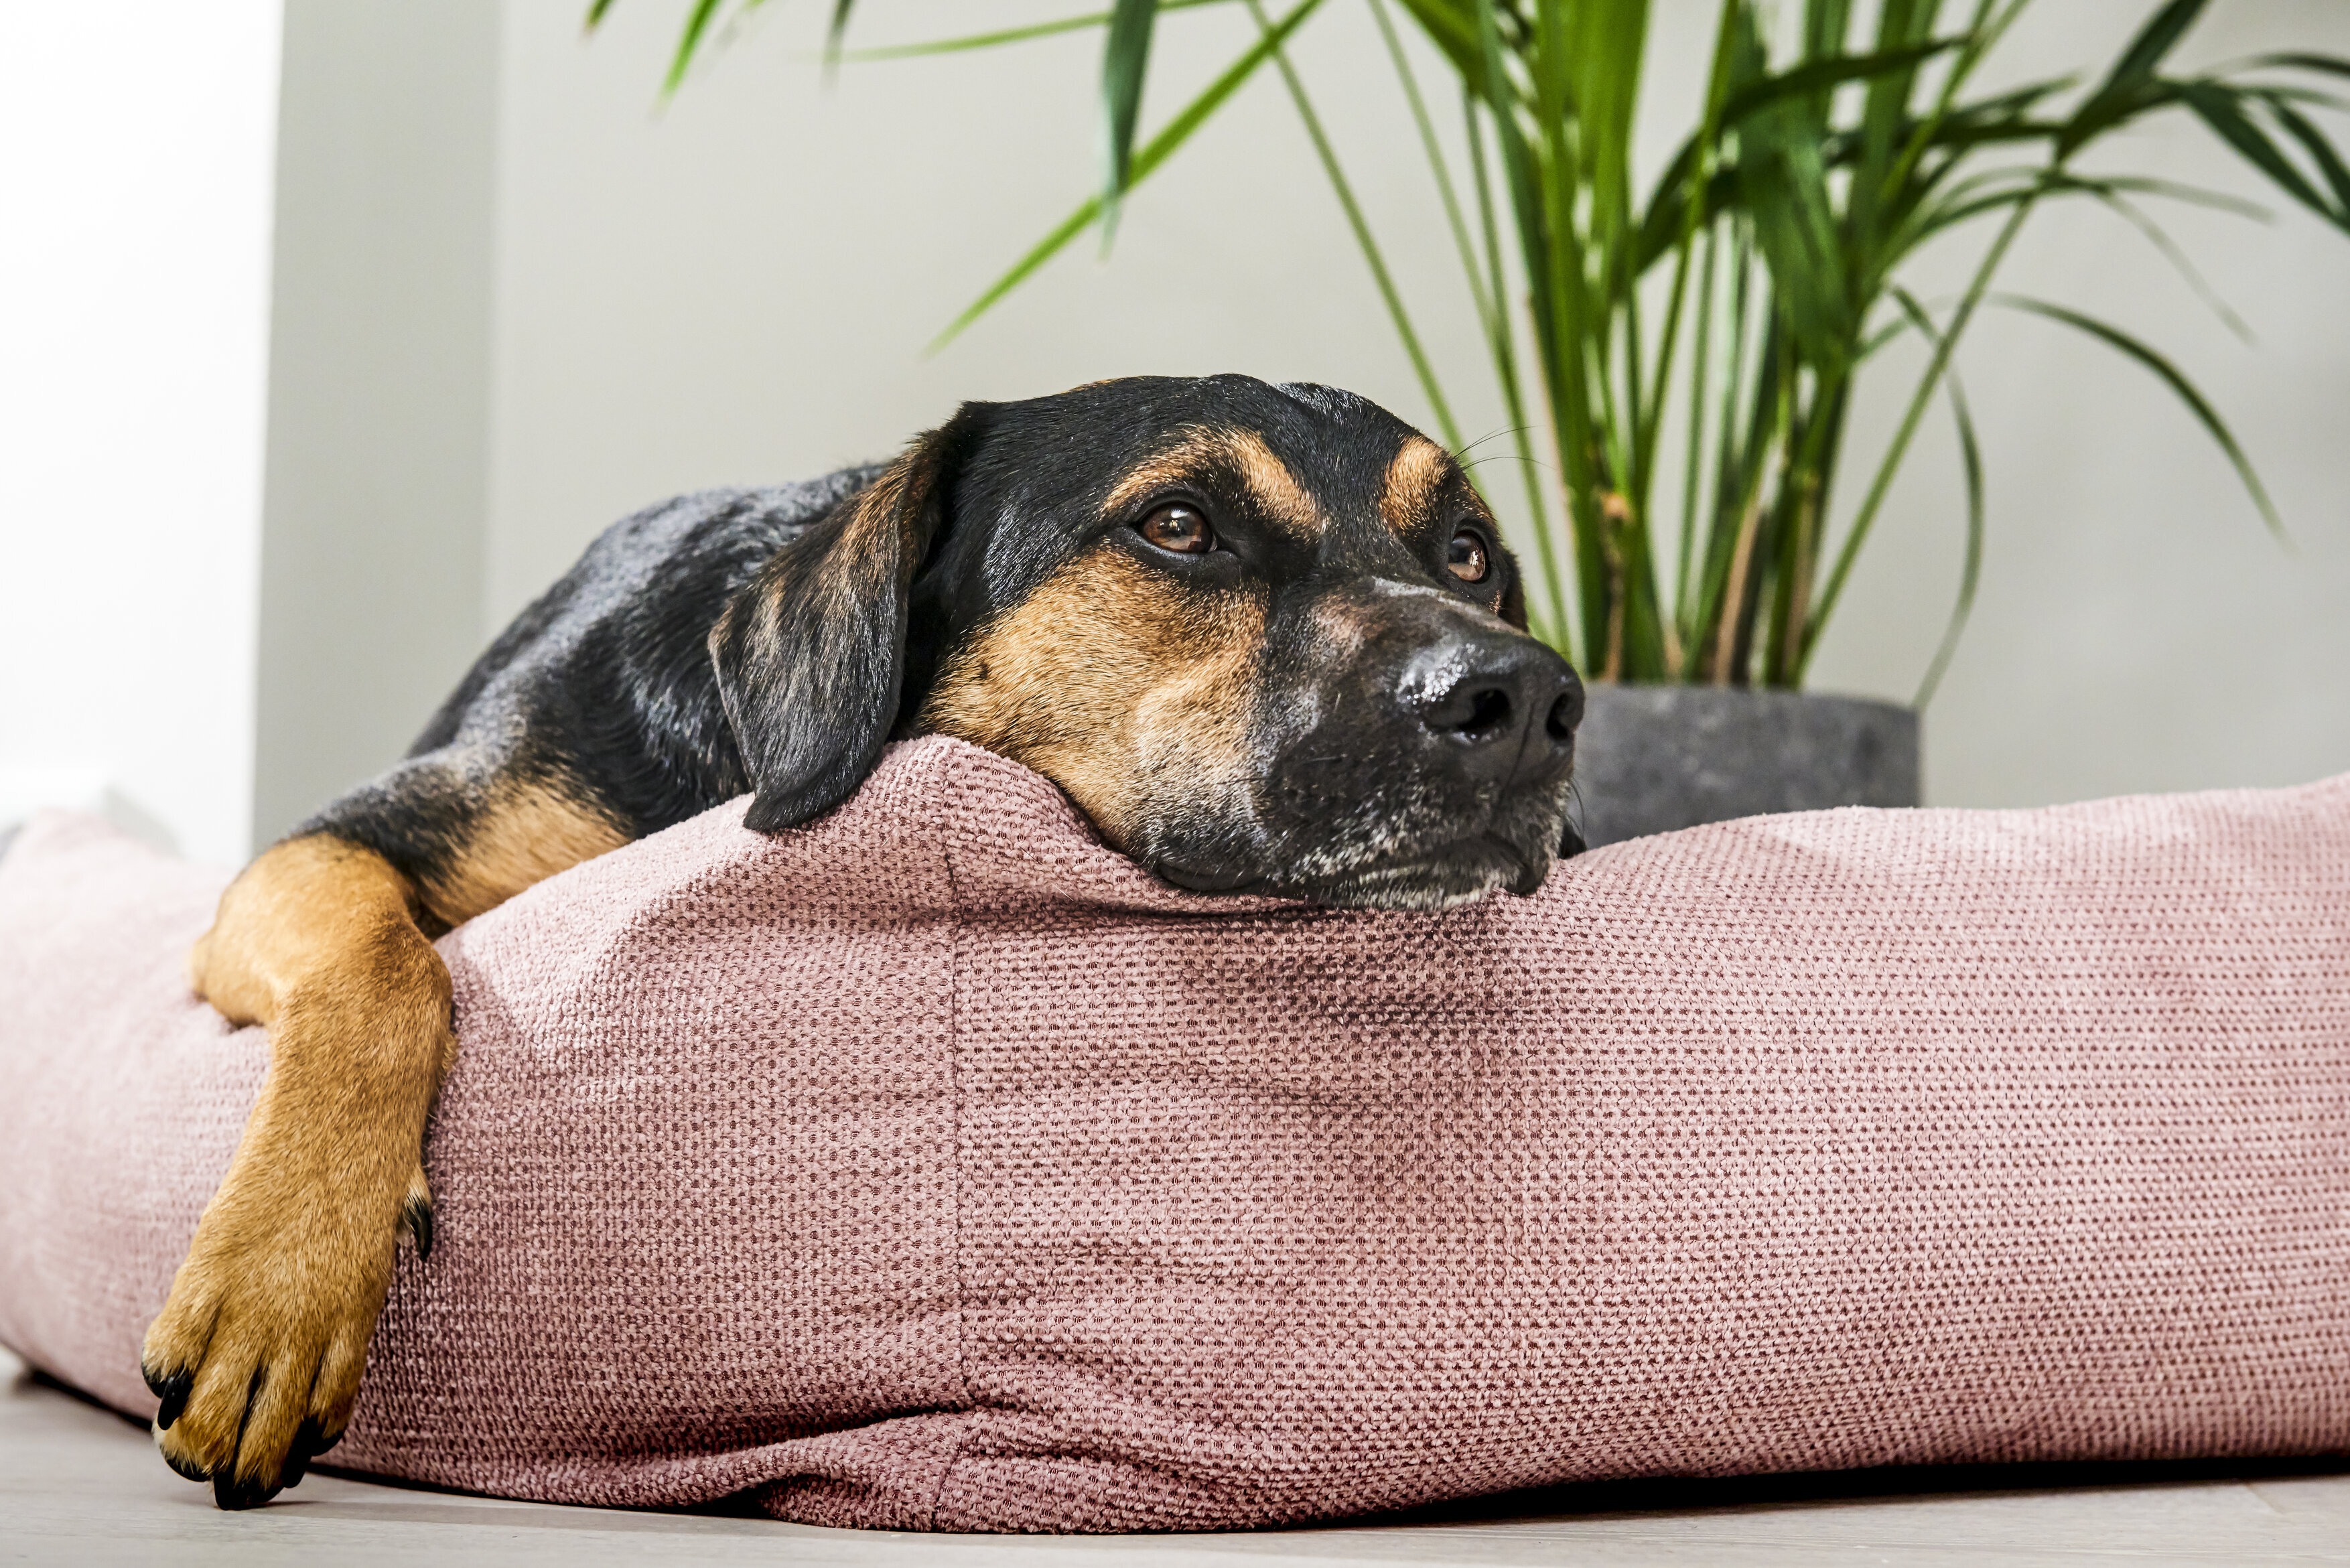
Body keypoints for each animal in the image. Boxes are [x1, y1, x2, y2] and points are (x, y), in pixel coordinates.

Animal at [142, 373, 1586, 1507]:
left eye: (1468, 550)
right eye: (1178, 524)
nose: (1527, 698)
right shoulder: (329, 847)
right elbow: (384, 972)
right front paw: (281, 1284)